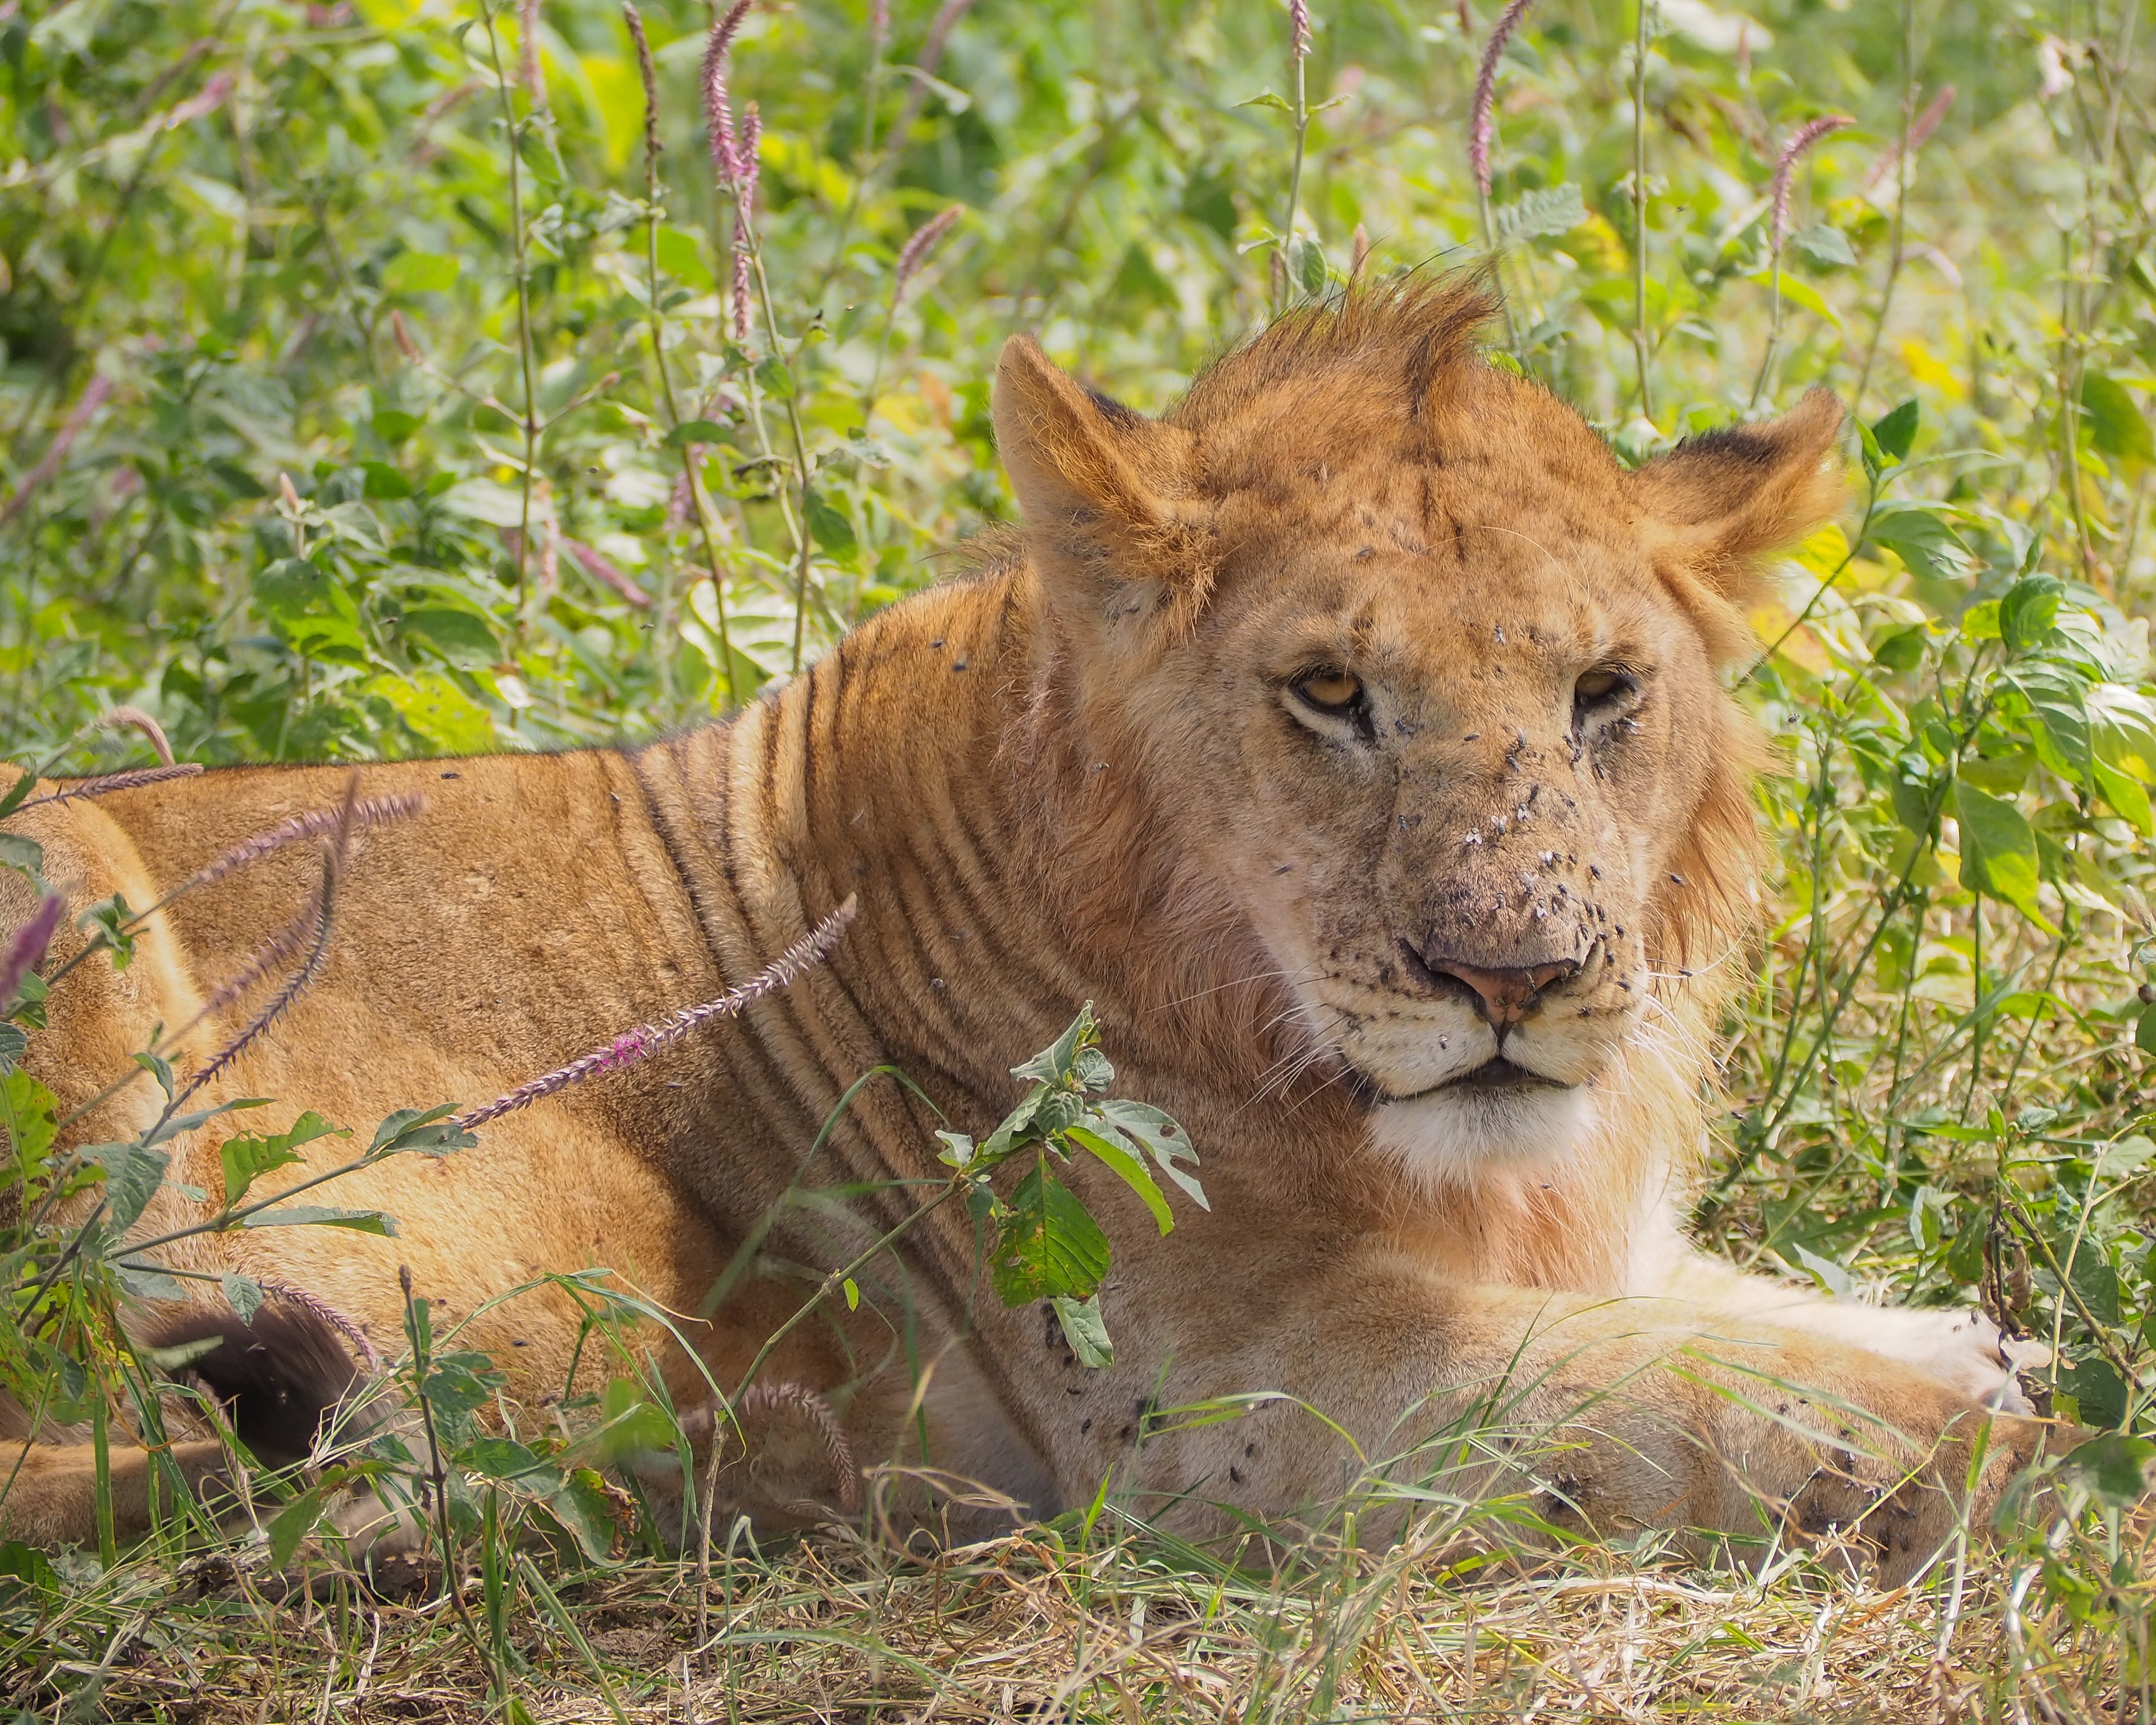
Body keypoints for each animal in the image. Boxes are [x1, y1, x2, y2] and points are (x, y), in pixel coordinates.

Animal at [0, 280, 2052, 1578]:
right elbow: (1729, 1395)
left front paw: (2000, 1360)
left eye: (1606, 693)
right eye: (1330, 695)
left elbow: (1801, 1327)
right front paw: (2039, 1457)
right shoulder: (1234, 1404)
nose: (1514, 981)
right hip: (73, 910)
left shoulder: (1581, 1251)